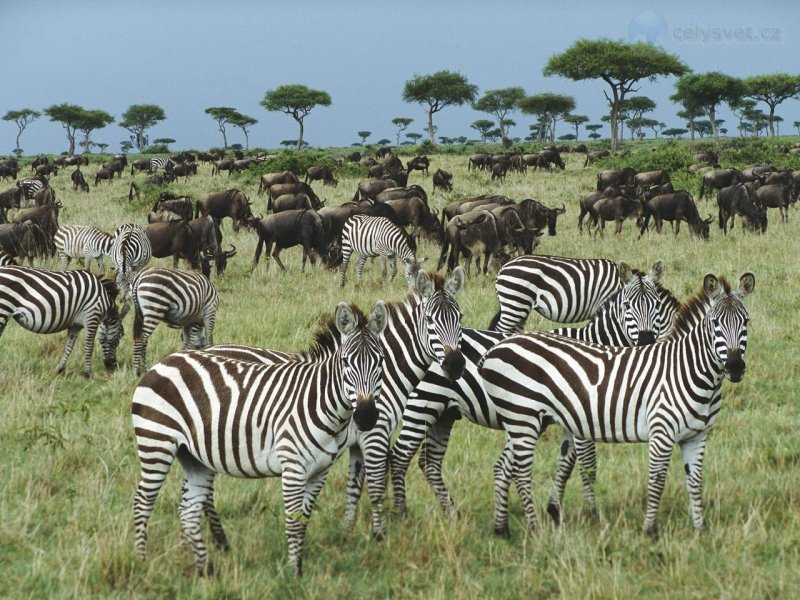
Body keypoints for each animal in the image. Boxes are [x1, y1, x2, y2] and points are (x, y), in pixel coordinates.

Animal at [132, 301, 388, 576]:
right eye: (346, 362)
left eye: (381, 361)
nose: (366, 416)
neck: (320, 402)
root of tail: (163, 362)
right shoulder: (293, 468)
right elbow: (293, 523)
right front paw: (293, 574)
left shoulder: (320, 472)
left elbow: (304, 521)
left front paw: (299, 568)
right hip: (156, 444)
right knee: (142, 503)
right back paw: (142, 563)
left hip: (193, 458)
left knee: (188, 511)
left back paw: (206, 572)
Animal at [206, 267, 466, 538]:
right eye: (430, 320)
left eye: (460, 317)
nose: (456, 364)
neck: (385, 373)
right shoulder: (374, 433)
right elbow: (375, 484)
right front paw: (379, 534)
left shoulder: (357, 440)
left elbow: (355, 486)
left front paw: (347, 530)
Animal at [388, 260, 668, 516]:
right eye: (628, 306)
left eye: (656, 305)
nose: (646, 341)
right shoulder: (582, 417)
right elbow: (588, 463)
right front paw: (591, 514)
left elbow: (567, 462)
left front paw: (555, 509)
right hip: (421, 405)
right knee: (400, 457)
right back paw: (402, 513)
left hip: (444, 412)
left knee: (429, 463)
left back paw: (452, 514)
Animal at [478, 272, 754, 538]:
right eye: (715, 323)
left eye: (746, 322)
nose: (735, 367)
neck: (687, 370)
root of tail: (496, 348)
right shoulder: (661, 432)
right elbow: (656, 481)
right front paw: (650, 531)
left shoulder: (696, 436)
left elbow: (695, 482)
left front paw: (700, 531)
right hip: (523, 418)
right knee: (522, 473)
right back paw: (535, 531)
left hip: (522, 420)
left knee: (504, 468)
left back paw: (502, 530)